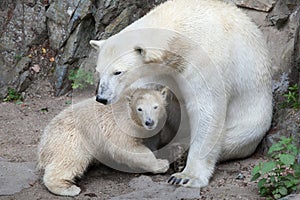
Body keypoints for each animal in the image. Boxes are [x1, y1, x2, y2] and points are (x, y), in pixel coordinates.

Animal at [36, 88, 170, 197]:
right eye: (140, 109)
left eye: (155, 106)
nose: (149, 122)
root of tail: (43, 144)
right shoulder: (121, 126)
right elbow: (128, 148)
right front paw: (161, 164)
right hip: (71, 139)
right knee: (70, 160)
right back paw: (69, 188)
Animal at [89, 0, 274, 188]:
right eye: (99, 71)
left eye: (118, 72)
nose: (101, 98)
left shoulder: (205, 59)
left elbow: (206, 110)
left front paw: (186, 176)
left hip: (252, 121)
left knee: (235, 138)